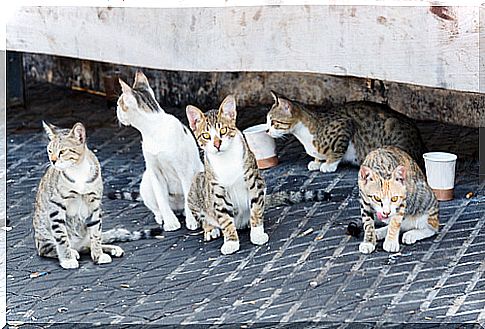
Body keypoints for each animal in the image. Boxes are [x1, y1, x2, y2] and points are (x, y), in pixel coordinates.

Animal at [34, 121, 163, 268]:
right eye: (50, 151)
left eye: (62, 151)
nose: (53, 161)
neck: (77, 170)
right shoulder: (57, 206)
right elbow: (61, 238)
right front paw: (67, 259)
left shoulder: (94, 204)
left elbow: (96, 233)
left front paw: (98, 255)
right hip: (44, 235)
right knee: (50, 248)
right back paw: (72, 252)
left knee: (89, 244)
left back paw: (110, 248)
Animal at [116, 71, 203, 231]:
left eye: (119, 103)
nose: (116, 110)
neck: (153, 129)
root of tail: (178, 207)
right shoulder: (155, 172)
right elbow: (161, 200)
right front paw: (170, 222)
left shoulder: (184, 170)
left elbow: (188, 194)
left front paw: (192, 221)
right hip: (147, 181)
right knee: (156, 206)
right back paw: (162, 216)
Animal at [185, 94, 268, 254]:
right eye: (206, 135)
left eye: (223, 130)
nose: (217, 144)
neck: (226, 159)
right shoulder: (217, 191)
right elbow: (224, 219)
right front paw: (230, 242)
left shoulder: (254, 181)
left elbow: (256, 209)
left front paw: (257, 234)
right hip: (196, 186)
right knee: (203, 217)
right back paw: (210, 228)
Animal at [266, 89, 426, 172]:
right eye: (267, 121)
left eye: (273, 122)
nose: (267, 130)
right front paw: (317, 161)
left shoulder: (345, 126)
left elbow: (338, 150)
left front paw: (329, 165)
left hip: (391, 129)